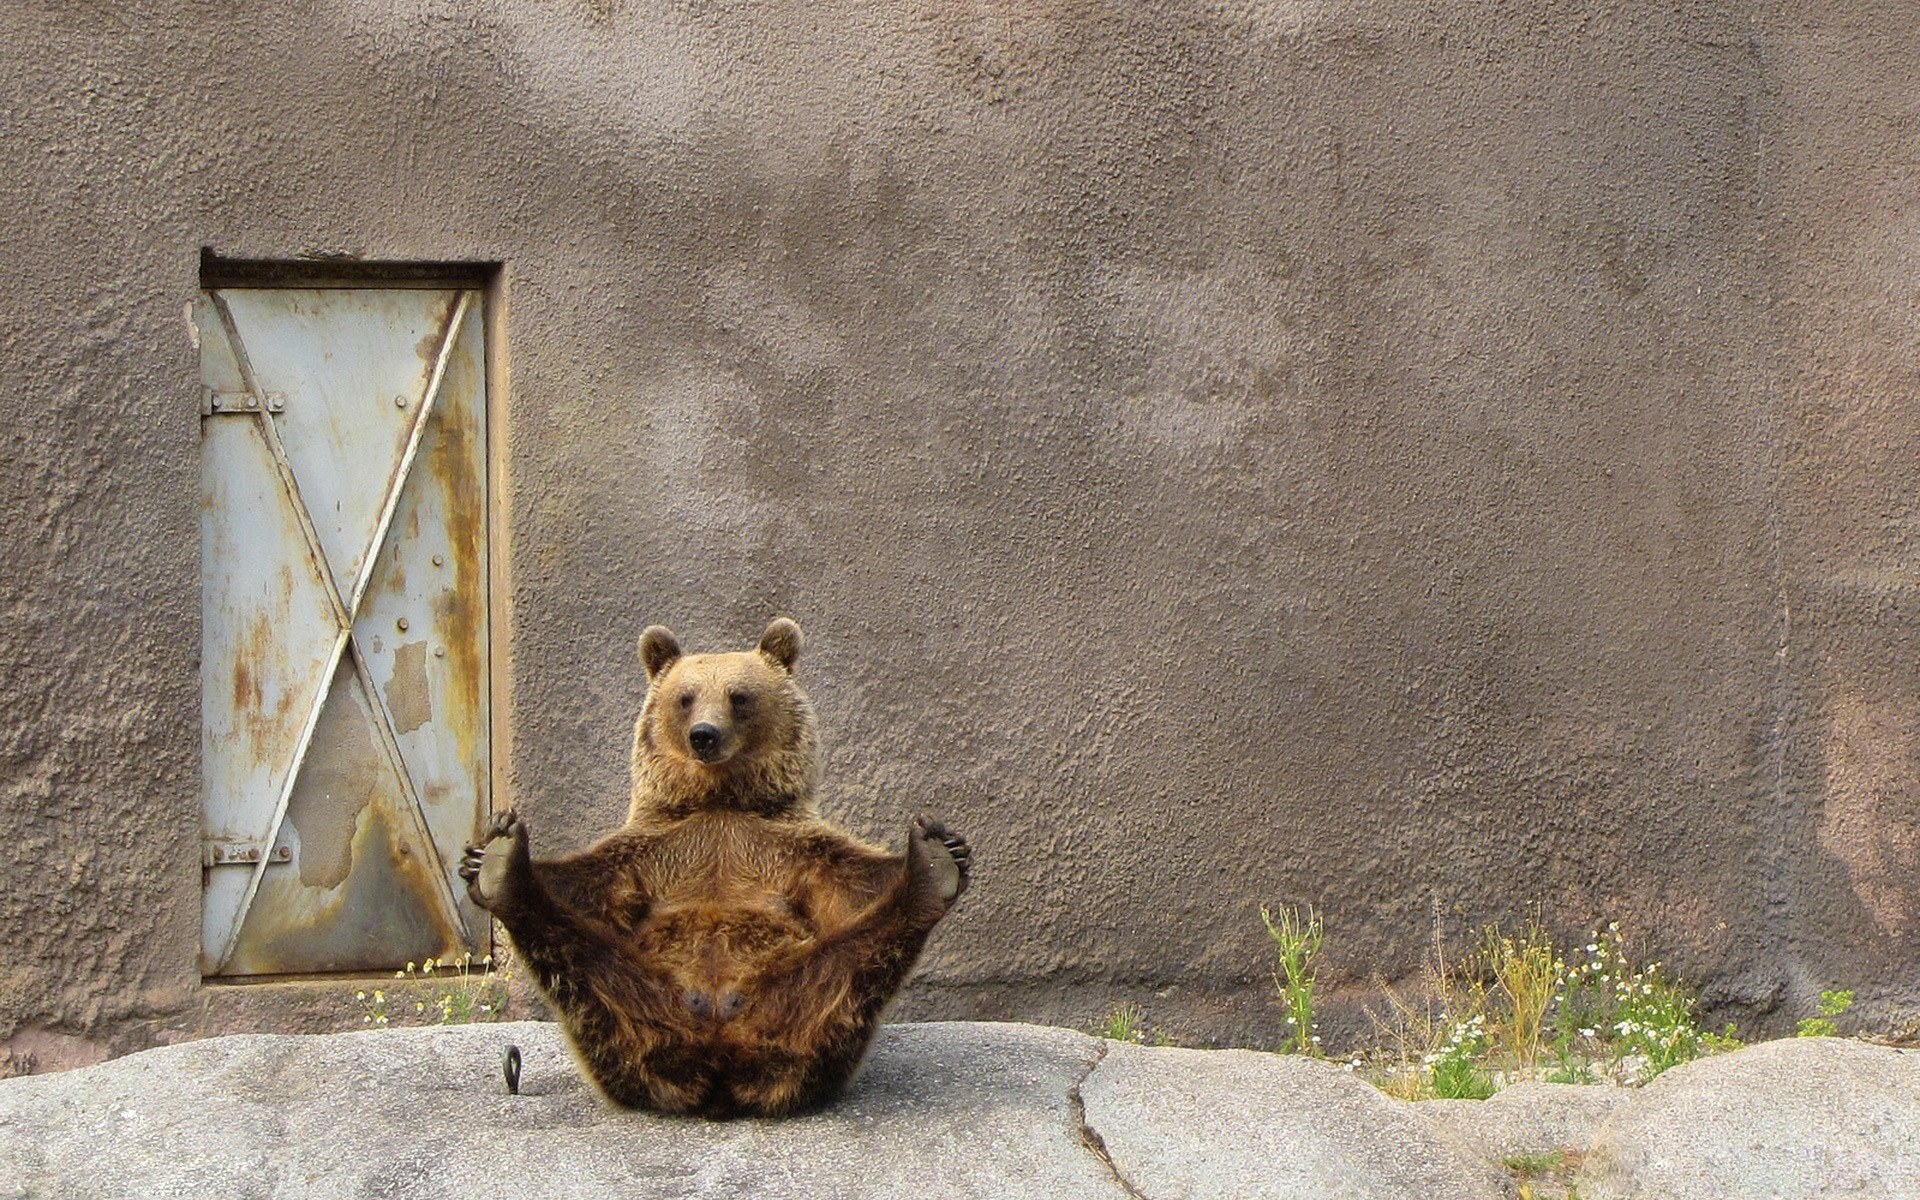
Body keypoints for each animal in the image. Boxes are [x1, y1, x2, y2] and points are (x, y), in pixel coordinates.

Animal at [457, 617, 971, 1117]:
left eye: (738, 696)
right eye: (685, 697)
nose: (704, 734)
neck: (719, 799)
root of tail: (720, 1066)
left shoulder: (786, 846)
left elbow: (853, 882)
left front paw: (947, 846)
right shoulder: (655, 849)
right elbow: (586, 884)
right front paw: (480, 856)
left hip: (796, 1001)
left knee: (850, 967)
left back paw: (931, 872)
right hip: (633, 1011)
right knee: (584, 962)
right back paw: (504, 869)